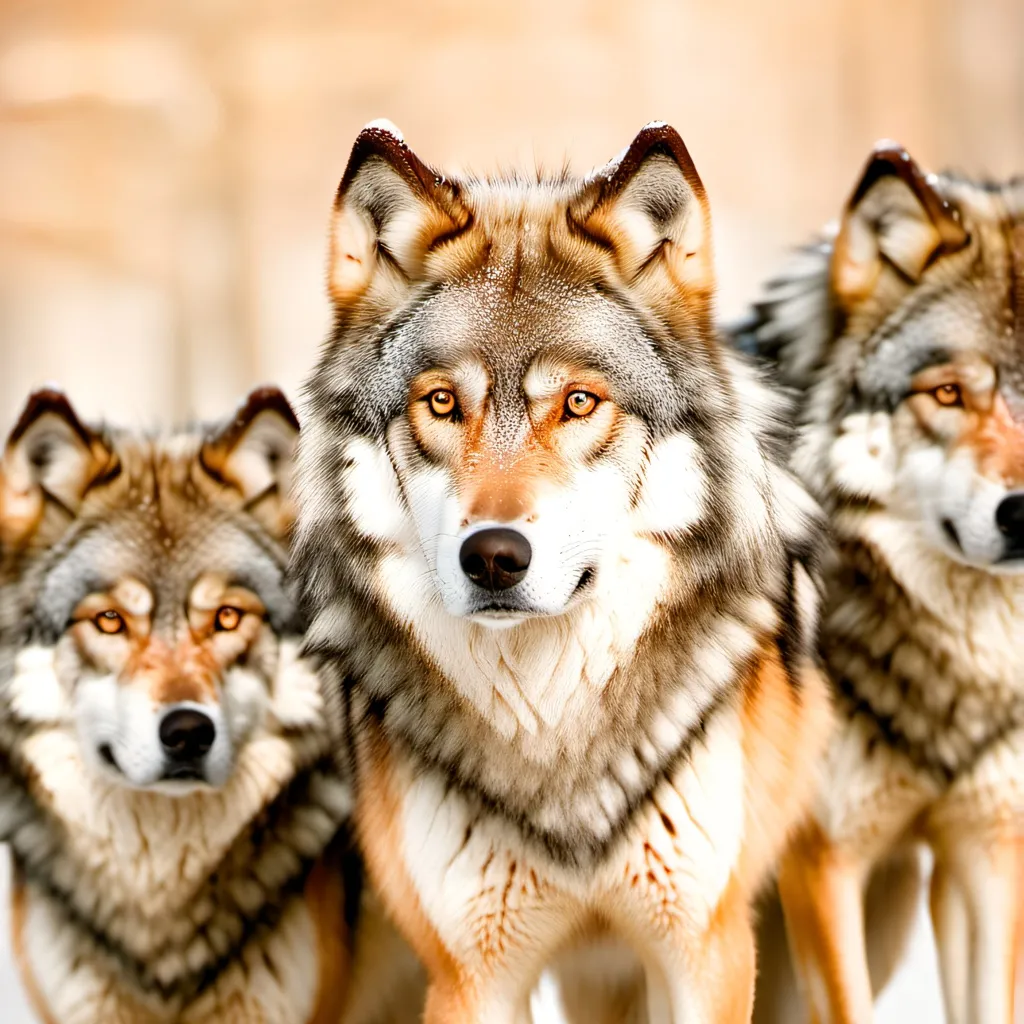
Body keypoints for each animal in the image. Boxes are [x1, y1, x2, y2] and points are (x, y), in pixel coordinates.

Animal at [292, 120, 832, 1024]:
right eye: (442, 403)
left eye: (579, 403)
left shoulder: (704, 951)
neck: (554, 739)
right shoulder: (472, 974)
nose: (493, 556)